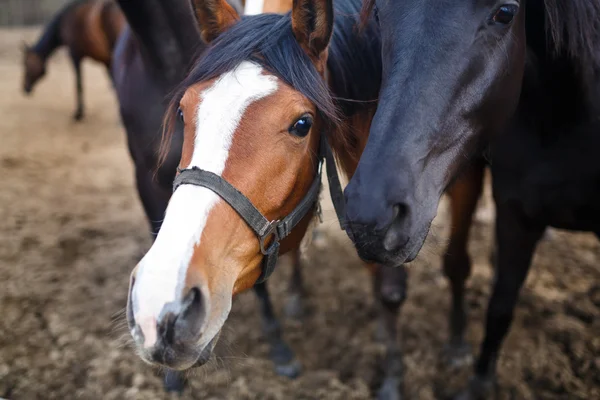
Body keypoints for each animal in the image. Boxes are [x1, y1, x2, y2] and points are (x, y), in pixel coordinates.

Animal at [352, 0, 600, 398]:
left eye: (505, 12)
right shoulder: (516, 214)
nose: (371, 216)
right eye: (378, 12)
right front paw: (480, 383)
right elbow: (500, 307)